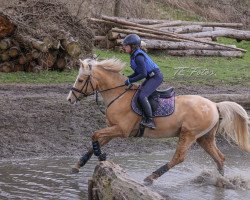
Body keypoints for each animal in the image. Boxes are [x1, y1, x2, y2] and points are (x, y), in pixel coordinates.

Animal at [67, 57, 250, 184]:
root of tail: (214, 104)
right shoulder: (113, 128)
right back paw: (222, 180)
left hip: (189, 134)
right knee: (219, 158)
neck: (118, 95)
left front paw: (101, 156)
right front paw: (78, 164)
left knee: (179, 158)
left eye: (81, 80)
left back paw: (151, 177)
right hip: (204, 138)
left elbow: (94, 135)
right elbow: (95, 140)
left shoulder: (122, 130)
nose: (69, 99)